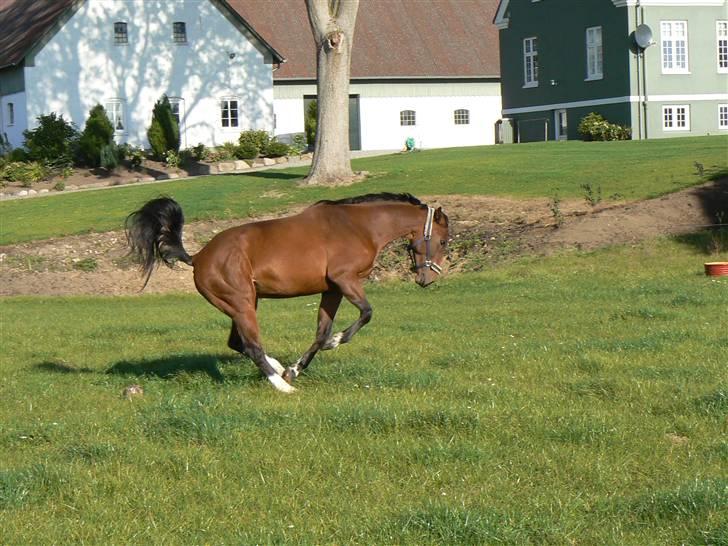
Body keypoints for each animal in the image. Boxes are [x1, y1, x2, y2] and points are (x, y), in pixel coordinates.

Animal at [126, 191, 450, 392]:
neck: (360, 226)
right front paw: (334, 343)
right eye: (445, 241)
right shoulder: (345, 280)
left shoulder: (332, 289)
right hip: (242, 304)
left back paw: (279, 368)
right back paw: (282, 387)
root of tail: (198, 257)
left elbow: (320, 332)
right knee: (251, 346)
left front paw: (296, 367)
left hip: (245, 304)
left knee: (238, 343)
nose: (428, 279)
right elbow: (366, 313)